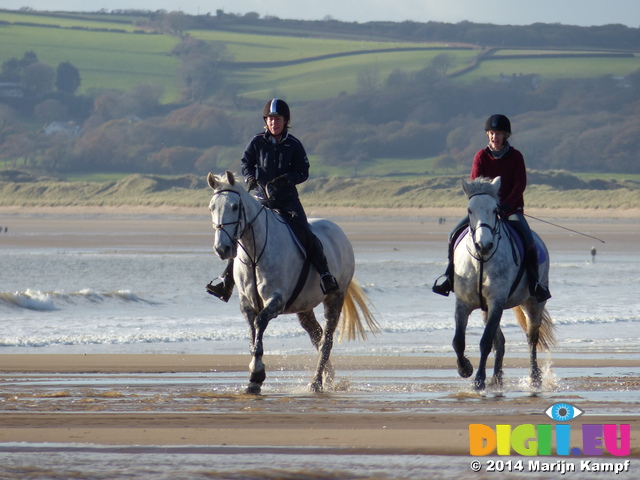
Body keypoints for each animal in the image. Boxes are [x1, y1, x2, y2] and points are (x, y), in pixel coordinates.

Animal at [208, 172, 378, 394]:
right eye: (211, 207)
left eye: (235, 207)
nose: (222, 249)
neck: (254, 254)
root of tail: (338, 231)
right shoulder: (246, 303)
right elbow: (253, 334)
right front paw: (253, 380)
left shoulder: (276, 300)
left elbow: (260, 323)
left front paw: (256, 375)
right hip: (304, 307)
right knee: (317, 337)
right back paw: (328, 378)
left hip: (335, 298)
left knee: (326, 341)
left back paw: (316, 382)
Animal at [452, 176, 552, 390]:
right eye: (470, 210)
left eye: (495, 210)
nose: (484, 245)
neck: (480, 261)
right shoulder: (464, 303)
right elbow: (458, 341)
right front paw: (465, 369)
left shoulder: (496, 301)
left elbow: (485, 341)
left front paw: (478, 379)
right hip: (486, 309)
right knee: (501, 341)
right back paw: (497, 379)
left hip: (533, 304)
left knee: (531, 338)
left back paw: (535, 378)